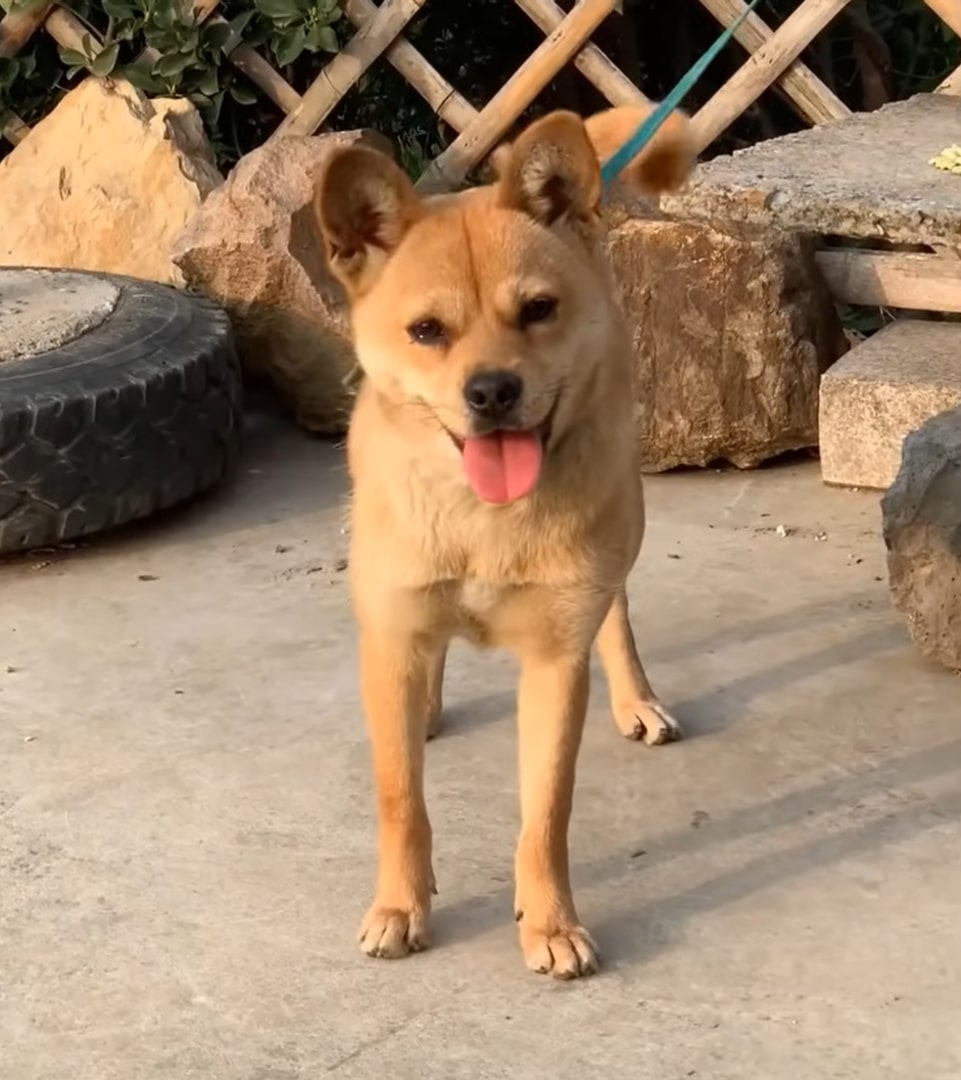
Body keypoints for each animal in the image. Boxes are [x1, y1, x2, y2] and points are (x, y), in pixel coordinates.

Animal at [317, 103, 691, 980]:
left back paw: (635, 697)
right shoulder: (391, 632)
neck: (480, 514)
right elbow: (400, 799)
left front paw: (549, 921)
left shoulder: (554, 665)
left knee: (616, 608)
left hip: (621, 515)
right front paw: (400, 906)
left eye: (538, 310)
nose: (491, 391)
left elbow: (545, 812)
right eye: (426, 330)